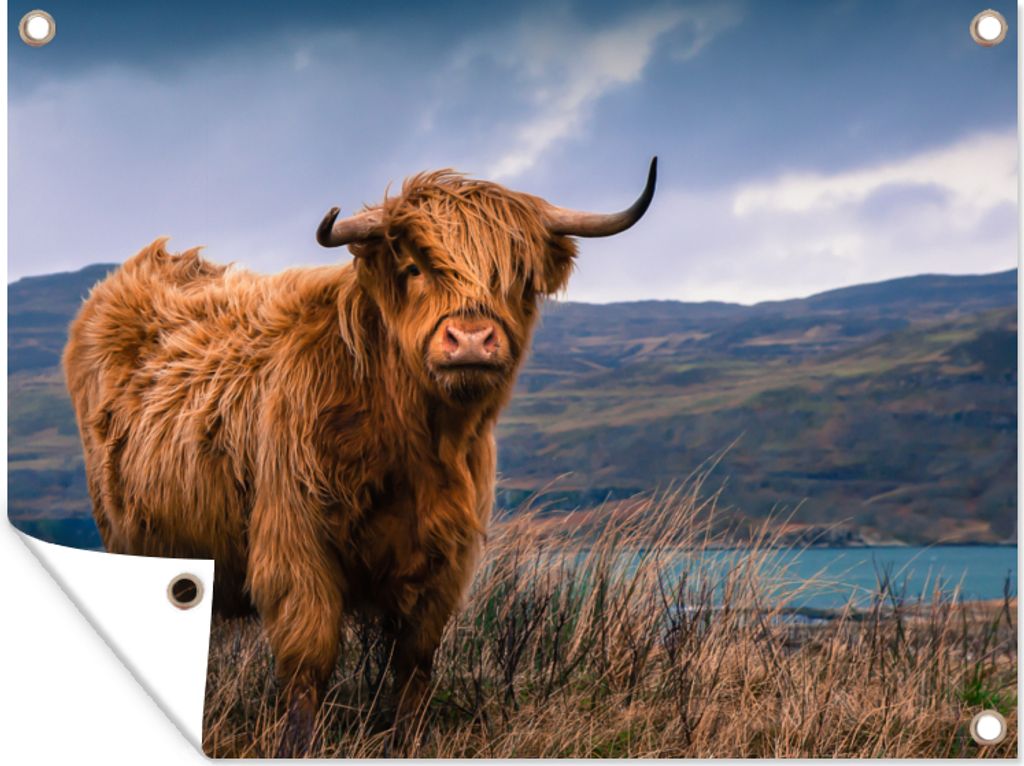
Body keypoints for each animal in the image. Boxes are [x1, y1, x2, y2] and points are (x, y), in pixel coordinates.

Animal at [63, 159, 657, 754]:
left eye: (517, 277)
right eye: (414, 267)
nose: (470, 340)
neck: (412, 443)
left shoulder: (446, 559)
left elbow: (414, 663)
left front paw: (408, 741)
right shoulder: (295, 545)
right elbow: (309, 660)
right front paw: (297, 746)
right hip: (128, 537)